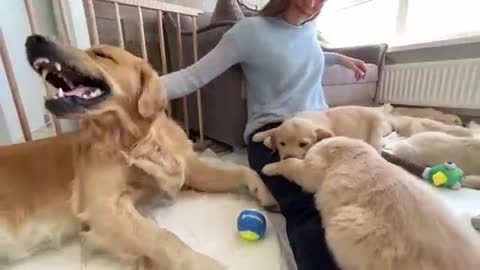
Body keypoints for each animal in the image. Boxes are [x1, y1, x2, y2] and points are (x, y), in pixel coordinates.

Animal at [251, 105, 390, 159]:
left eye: (303, 144)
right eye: (282, 144)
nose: (289, 158)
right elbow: (273, 131)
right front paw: (259, 135)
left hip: (376, 131)